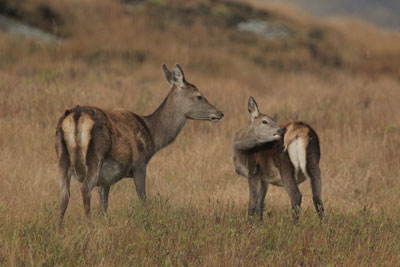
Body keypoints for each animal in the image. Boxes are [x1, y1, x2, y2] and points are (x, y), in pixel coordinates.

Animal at [55, 63, 225, 228]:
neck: (152, 136)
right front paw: (147, 224)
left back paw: (59, 230)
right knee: (84, 190)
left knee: (64, 194)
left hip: (62, 157)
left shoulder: (105, 179)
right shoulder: (140, 164)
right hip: (95, 157)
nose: (220, 113)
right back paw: (89, 228)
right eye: (199, 96)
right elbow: (143, 199)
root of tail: (77, 115)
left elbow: (103, 207)